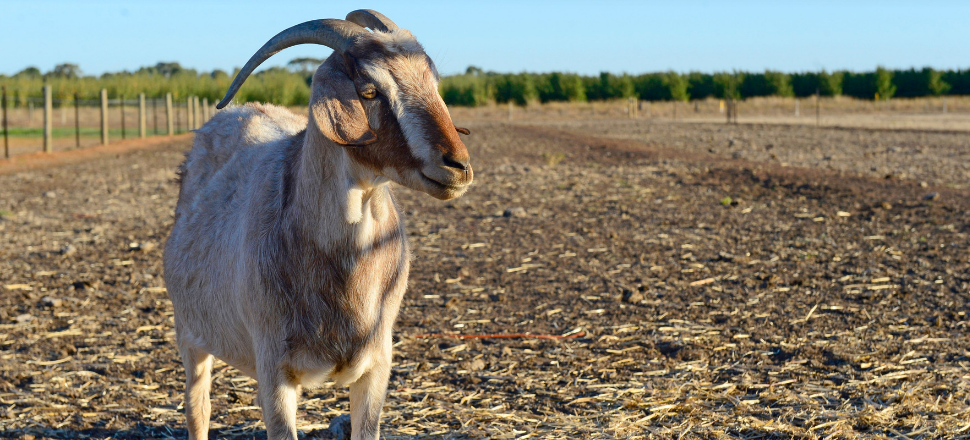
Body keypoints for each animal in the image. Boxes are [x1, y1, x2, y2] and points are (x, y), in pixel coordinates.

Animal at [163, 9, 472, 440]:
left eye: (433, 81)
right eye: (370, 90)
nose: (458, 165)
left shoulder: (377, 366)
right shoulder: (273, 370)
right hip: (189, 333)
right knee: (198, 409)